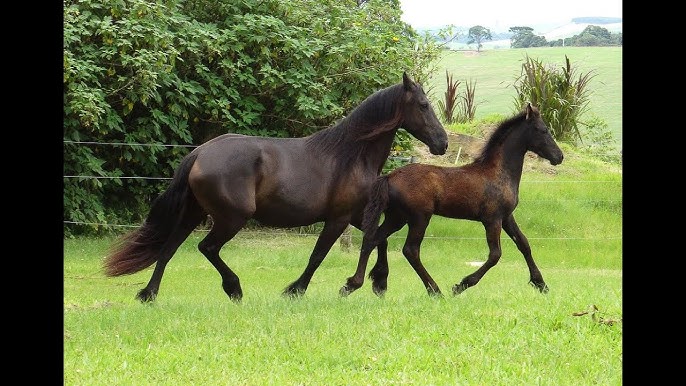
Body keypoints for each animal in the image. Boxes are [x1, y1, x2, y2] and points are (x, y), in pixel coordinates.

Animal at [101, 72, 446, 302]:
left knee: (169, 248)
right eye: (423, 105)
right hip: (232, 218)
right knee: (206, 248)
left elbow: (378, 239)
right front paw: (297, 290)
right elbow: (318, 256)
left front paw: (378, 282)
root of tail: (200, 152)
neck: (350, 153)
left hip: (193, 214)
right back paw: (234, 288)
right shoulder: (337, 219)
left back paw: (149, 294)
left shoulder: (356, 215)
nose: (442, 143)